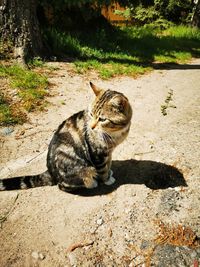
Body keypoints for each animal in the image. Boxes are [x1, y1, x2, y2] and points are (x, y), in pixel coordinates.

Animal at [0, 82, 133, 193]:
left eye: (102, 119)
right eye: (91, 114)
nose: (91, 127)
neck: (115, 133)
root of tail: (50, 172)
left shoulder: (108, 152)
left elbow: (108, 163)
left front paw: (109, 172)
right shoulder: (97, 154)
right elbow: (102, 169)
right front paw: (106, 179)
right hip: (79, 167)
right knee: (63, 186)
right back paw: (92, 183)